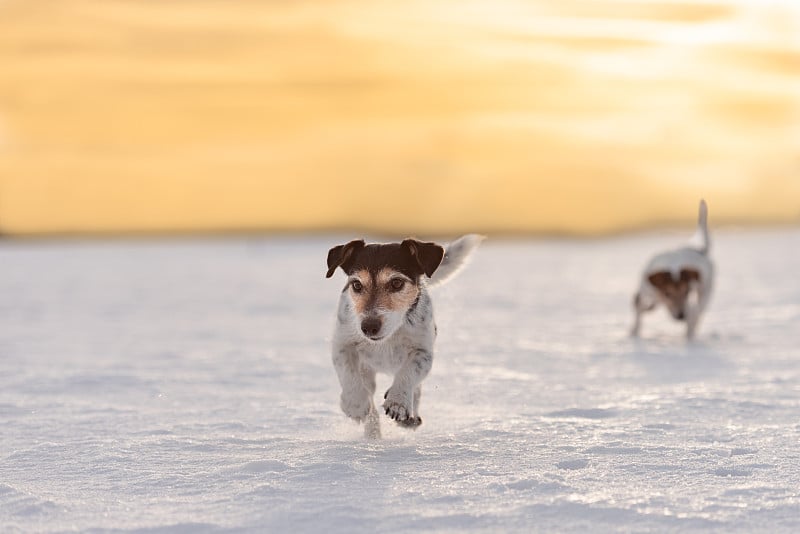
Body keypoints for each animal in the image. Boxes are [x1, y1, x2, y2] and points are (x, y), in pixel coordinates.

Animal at [324, 234, 482, 440]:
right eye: (357, 285)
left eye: (397, 283)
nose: (368, 327)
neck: (390, 335)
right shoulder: (343, 344)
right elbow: (348, 373)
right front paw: (355, 404)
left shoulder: (423, 351)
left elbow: (408, 373)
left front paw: (398, 403)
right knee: (370, 399)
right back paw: (373, 433)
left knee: (416, 389)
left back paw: (410, 417)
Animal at [632, 201, 712, 340]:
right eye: (667, 293)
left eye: (687, 292)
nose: (681, 316)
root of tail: (700, 249)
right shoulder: (645, 292)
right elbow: (638, 310)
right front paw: (633, 333)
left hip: (705, 292)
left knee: (697, 313)